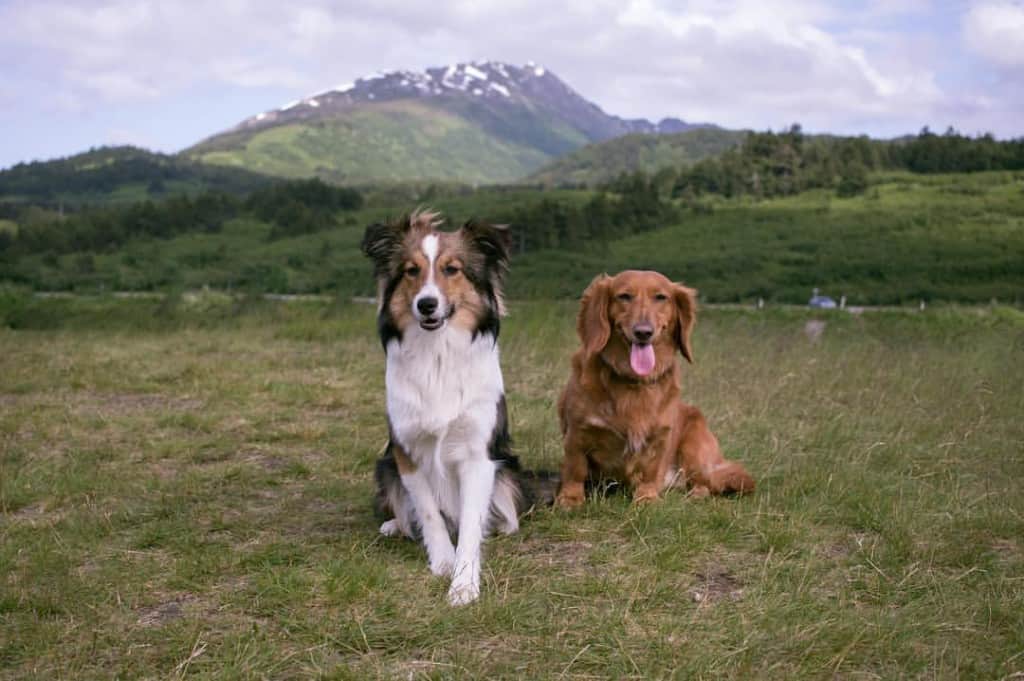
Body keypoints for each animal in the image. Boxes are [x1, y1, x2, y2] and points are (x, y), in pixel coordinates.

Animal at [557, 268, 757, 507]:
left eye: (661, 297)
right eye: (624, 296)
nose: (643, 332)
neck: (633, 382)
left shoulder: (660, 437)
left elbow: (649, 471)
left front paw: (647, 498)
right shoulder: (578, 431)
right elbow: (575, 468)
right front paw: (570, 498)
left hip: (694, 445)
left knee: (704, 482)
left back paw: (696, 494)